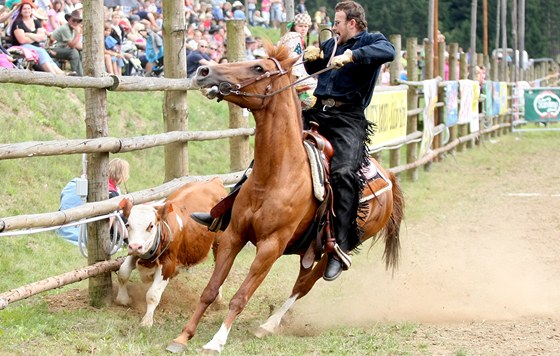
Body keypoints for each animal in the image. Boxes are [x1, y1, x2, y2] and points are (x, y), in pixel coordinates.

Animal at [115, 179, 229, 326]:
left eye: (151, 226)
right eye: (128, 224)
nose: (135, 246)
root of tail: (215, 181)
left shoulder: (167, 265)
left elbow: (152, 295)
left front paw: (147, 320)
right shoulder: (135, 254)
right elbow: (123, 273)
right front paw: (123, 299)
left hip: (220, 243)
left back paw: (218, 299)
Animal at [166, 44, 402, 354]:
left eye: (259, 68)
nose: (204, 70)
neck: (277, 174)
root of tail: (388, 176)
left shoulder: (271, 246)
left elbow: (241, 296)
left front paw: (216, 341)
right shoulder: (233, 236)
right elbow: (210, 290)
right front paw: (183, 336)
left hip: (336, 247)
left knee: (305, 285)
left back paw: (269, 325)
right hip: (309, 248)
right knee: (302, 280)